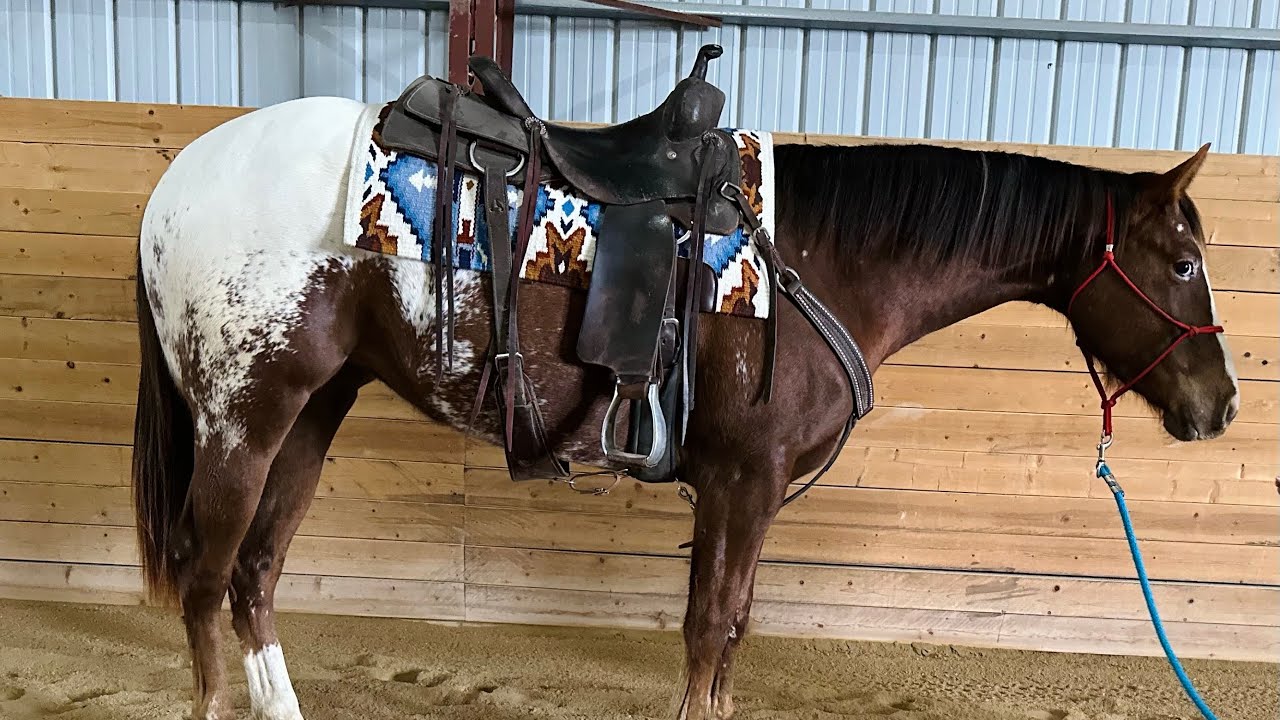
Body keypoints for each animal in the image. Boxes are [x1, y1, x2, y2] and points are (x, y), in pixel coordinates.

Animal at [130, 93, 1239, 720]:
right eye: (1183, 263)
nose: (1222, 406)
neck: (820, 261)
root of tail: (178, 185)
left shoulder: (747, 493)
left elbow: (731, 626)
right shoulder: (742, 482)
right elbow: (710, 629)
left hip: (313, 408)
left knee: (254, 577)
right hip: (243, 415)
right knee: (205, 575)